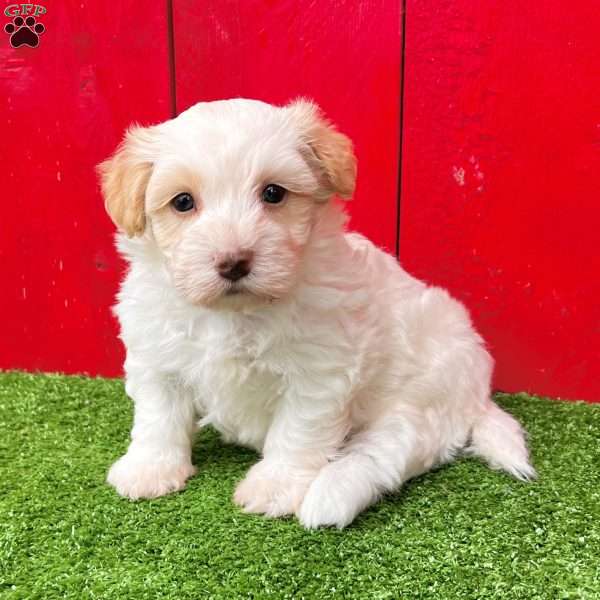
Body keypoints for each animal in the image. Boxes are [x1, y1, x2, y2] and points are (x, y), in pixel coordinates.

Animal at [98, 99, 536, 528]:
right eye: (183, 202)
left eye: (274, 193)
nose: (234, 262)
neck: (237, 312)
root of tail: (477, 394)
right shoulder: (156, 357)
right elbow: (158, 417)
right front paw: (150, 469)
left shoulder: (318, 373)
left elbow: (297, 431)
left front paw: (275, 486)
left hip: (421, 403)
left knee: (383, 454)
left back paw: (330, 497)